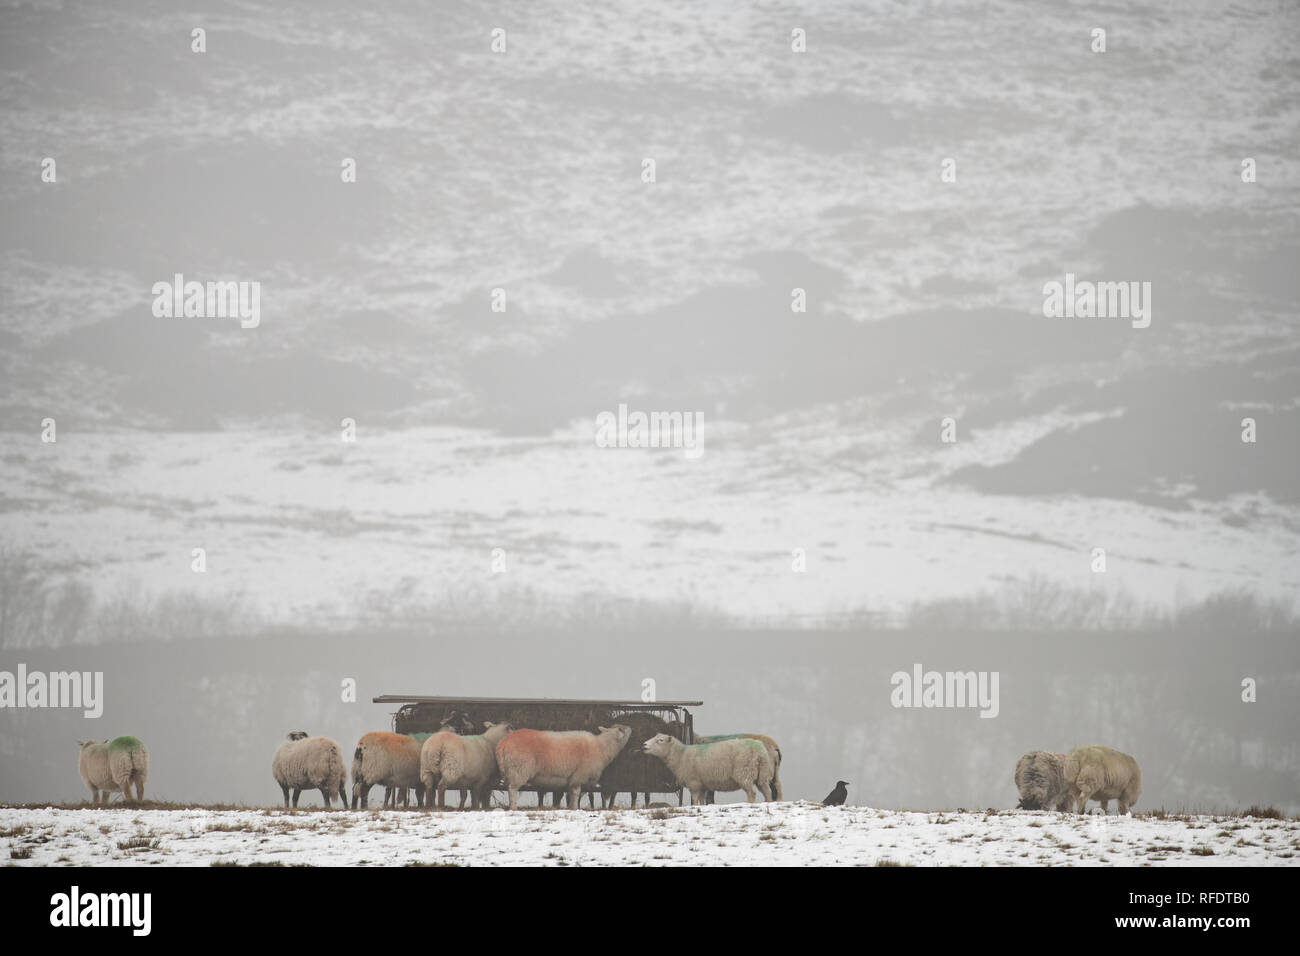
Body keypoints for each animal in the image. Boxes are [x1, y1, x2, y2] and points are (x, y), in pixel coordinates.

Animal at [495, 725, 632, 810]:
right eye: (621, 729)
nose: (630, 728)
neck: (602, 747)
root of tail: (502, 744)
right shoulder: (579, 775)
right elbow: (576, 793)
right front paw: (575, 808)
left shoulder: (572, 778)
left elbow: (569, 794)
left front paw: (570, 807)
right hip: (518, 769)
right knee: (512, 789)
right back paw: (514, 807)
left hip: (511, 770)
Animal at [642, 733, 774, 805]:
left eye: (660, 740)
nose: (644, 745)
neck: (680, 755)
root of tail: (759, 750)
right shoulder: (703, 785)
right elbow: (702, 800)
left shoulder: (694, 783)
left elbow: (694, 799)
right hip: (762, 774)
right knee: (767, 791)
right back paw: (768, 803)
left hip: (744, 772)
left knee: (751, 793)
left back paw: (748, 804)